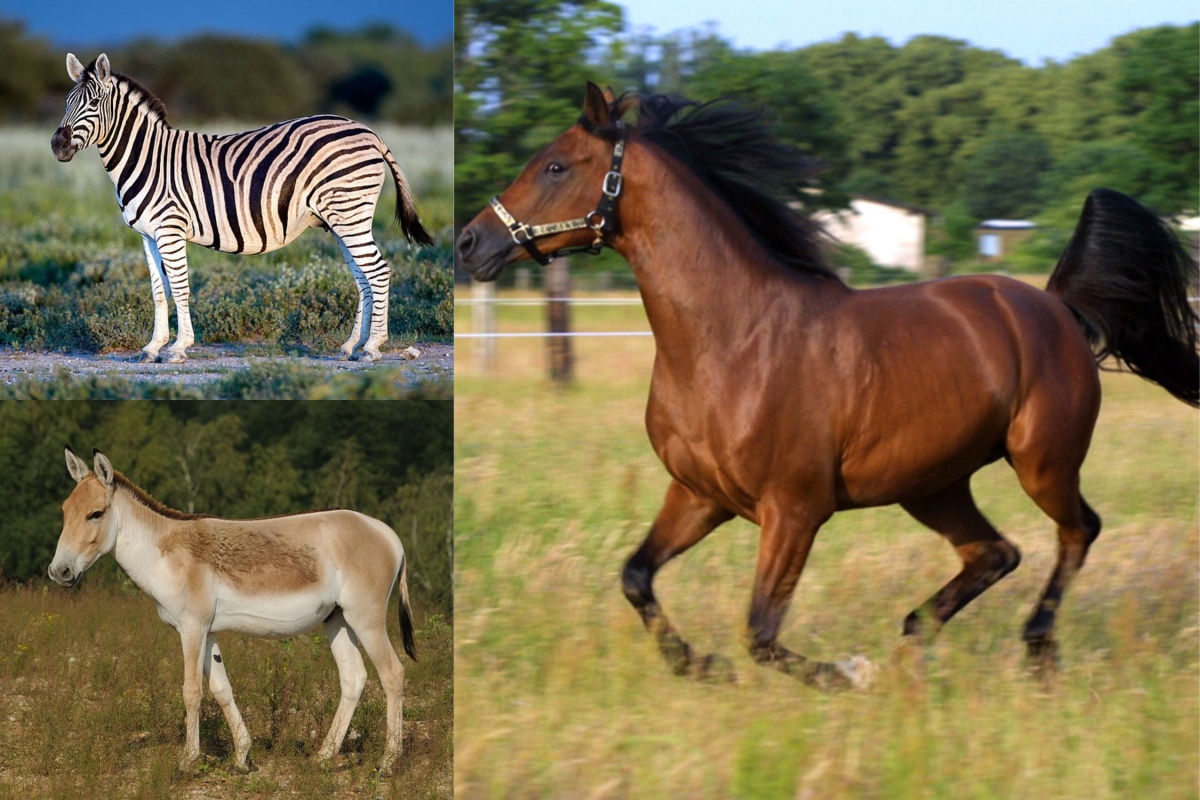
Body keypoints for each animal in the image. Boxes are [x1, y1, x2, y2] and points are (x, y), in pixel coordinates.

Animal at [48, 447, 417, 771]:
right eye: (64, 511)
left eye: (95, 514)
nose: (59, 572)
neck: (167, 555)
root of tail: (389, 533)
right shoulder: (207, 631)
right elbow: (221, 690)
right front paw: (242, 757)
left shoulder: (192, 627)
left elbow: (192, 691)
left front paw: (187, 761)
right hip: (336, 619)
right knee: (354, 677)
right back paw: (323, 757)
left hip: (365, 619)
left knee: (393, 674)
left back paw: (388, 761)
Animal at [456, 83, 1199, 690]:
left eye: (556, 165)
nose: (469, 243)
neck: (731, 341)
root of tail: (1057, 307)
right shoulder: (698, 495)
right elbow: (637, 577)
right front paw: (700, 667)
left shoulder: (795, 509)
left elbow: (760, 631)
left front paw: (846, 672)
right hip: (931, 485)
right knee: (996, 553)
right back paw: (913, 641)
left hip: (1042, 462)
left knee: (1077, 531)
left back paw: (1034, 649)